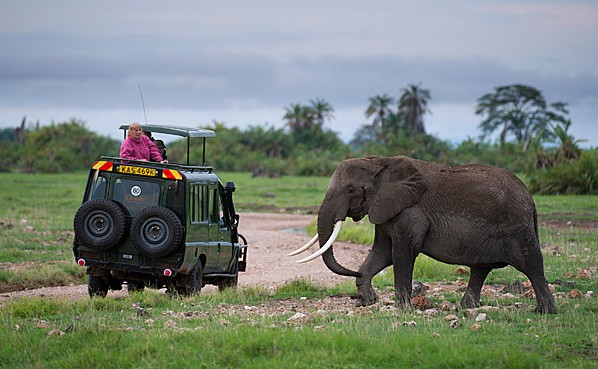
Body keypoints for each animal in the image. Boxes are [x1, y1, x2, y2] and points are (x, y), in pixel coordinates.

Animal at [292, 155, 560, 314]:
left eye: (350, 189)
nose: (352, 271)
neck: (381, 162)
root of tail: (530, 199)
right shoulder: (386, 207)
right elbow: (382, 252)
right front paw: (368, 301)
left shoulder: (410, 212)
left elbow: (402, 253)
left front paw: (403, 310)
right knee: (481, 268)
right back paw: (467, 308)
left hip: (516, 225)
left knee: (532, 265)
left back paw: (545, 312)